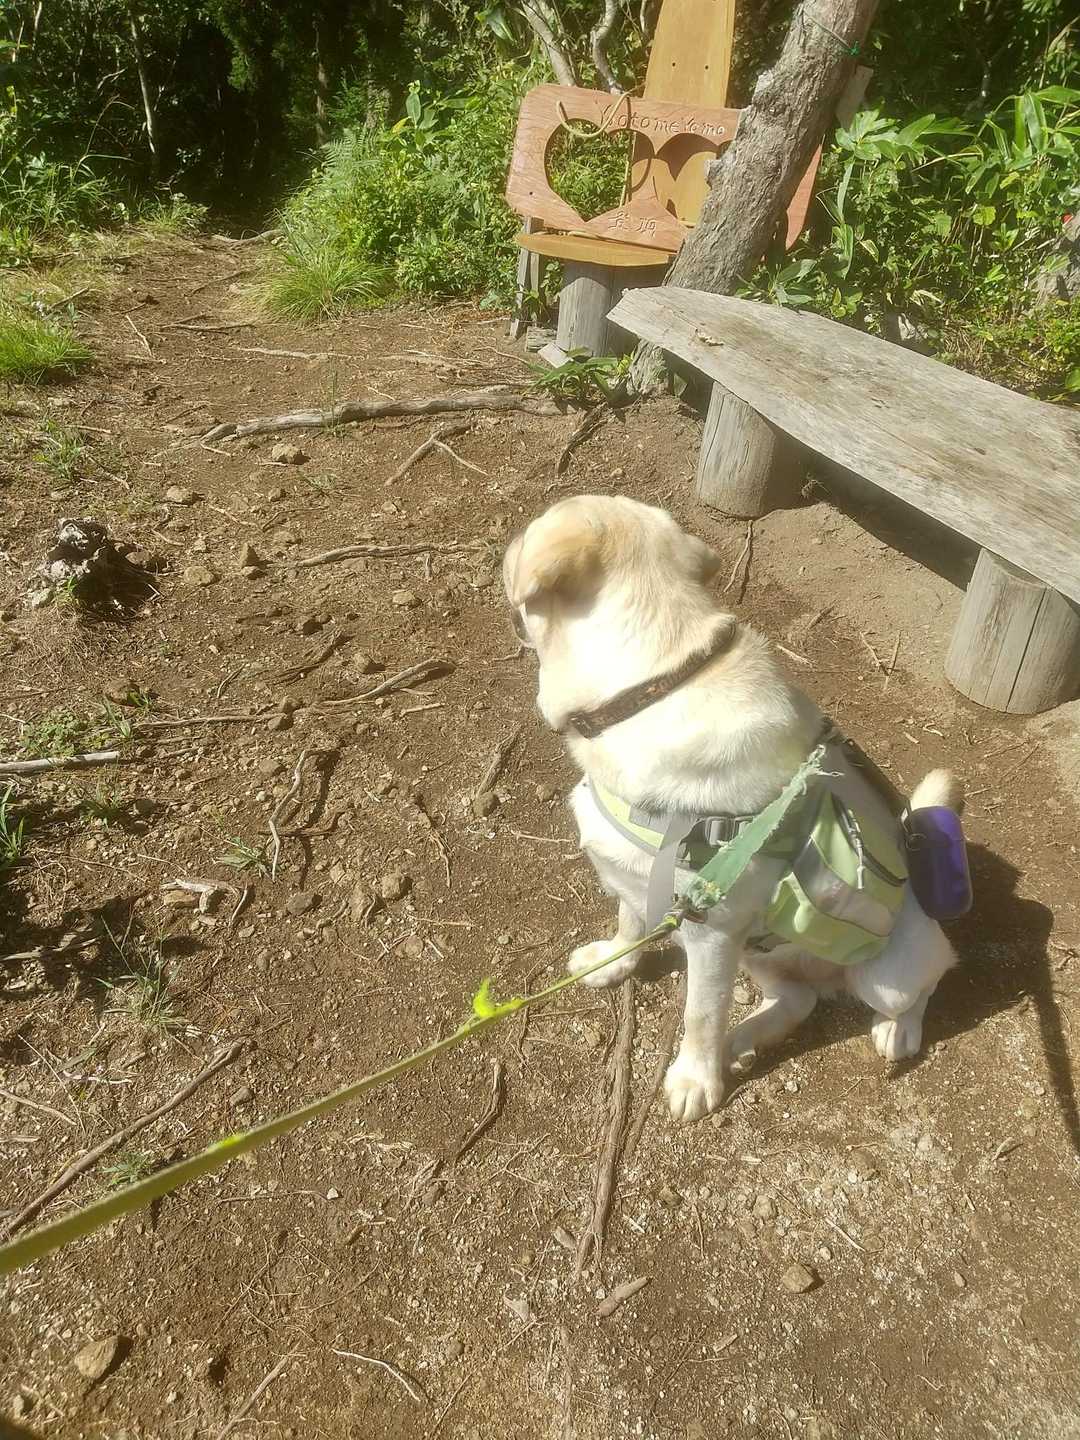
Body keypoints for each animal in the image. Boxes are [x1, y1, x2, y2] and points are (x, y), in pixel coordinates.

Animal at [503, 494, 961, 1124]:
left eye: (529, 533)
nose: (508, 538)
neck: (654, 684)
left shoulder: (711, 933)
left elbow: (699, 1015)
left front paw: (695, 1079)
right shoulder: (641, 887)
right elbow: (628, 925)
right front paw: (613, 963)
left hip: (883, 972)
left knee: (928, 981)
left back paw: (895, 1031)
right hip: (761, 954)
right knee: (797, 1000)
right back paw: (742, 1040)